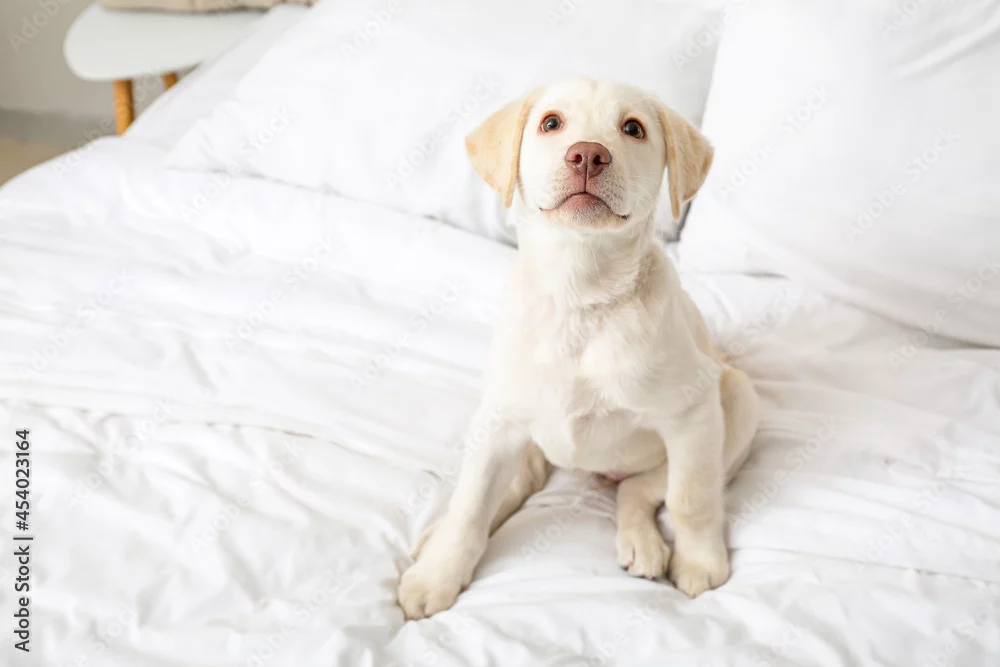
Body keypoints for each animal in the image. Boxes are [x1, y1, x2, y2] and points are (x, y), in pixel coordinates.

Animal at [398, 79, 759, 620]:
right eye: (551, 123)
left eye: (633, 128)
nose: (588, 154)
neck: (580, 298)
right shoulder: (498, 417)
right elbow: (470, 504)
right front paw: (439, 573)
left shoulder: (693, 415)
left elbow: (691, 498)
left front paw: (699, 560)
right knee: (513, 485)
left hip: (736, 399)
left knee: (643, 487)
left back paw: (642, 541)